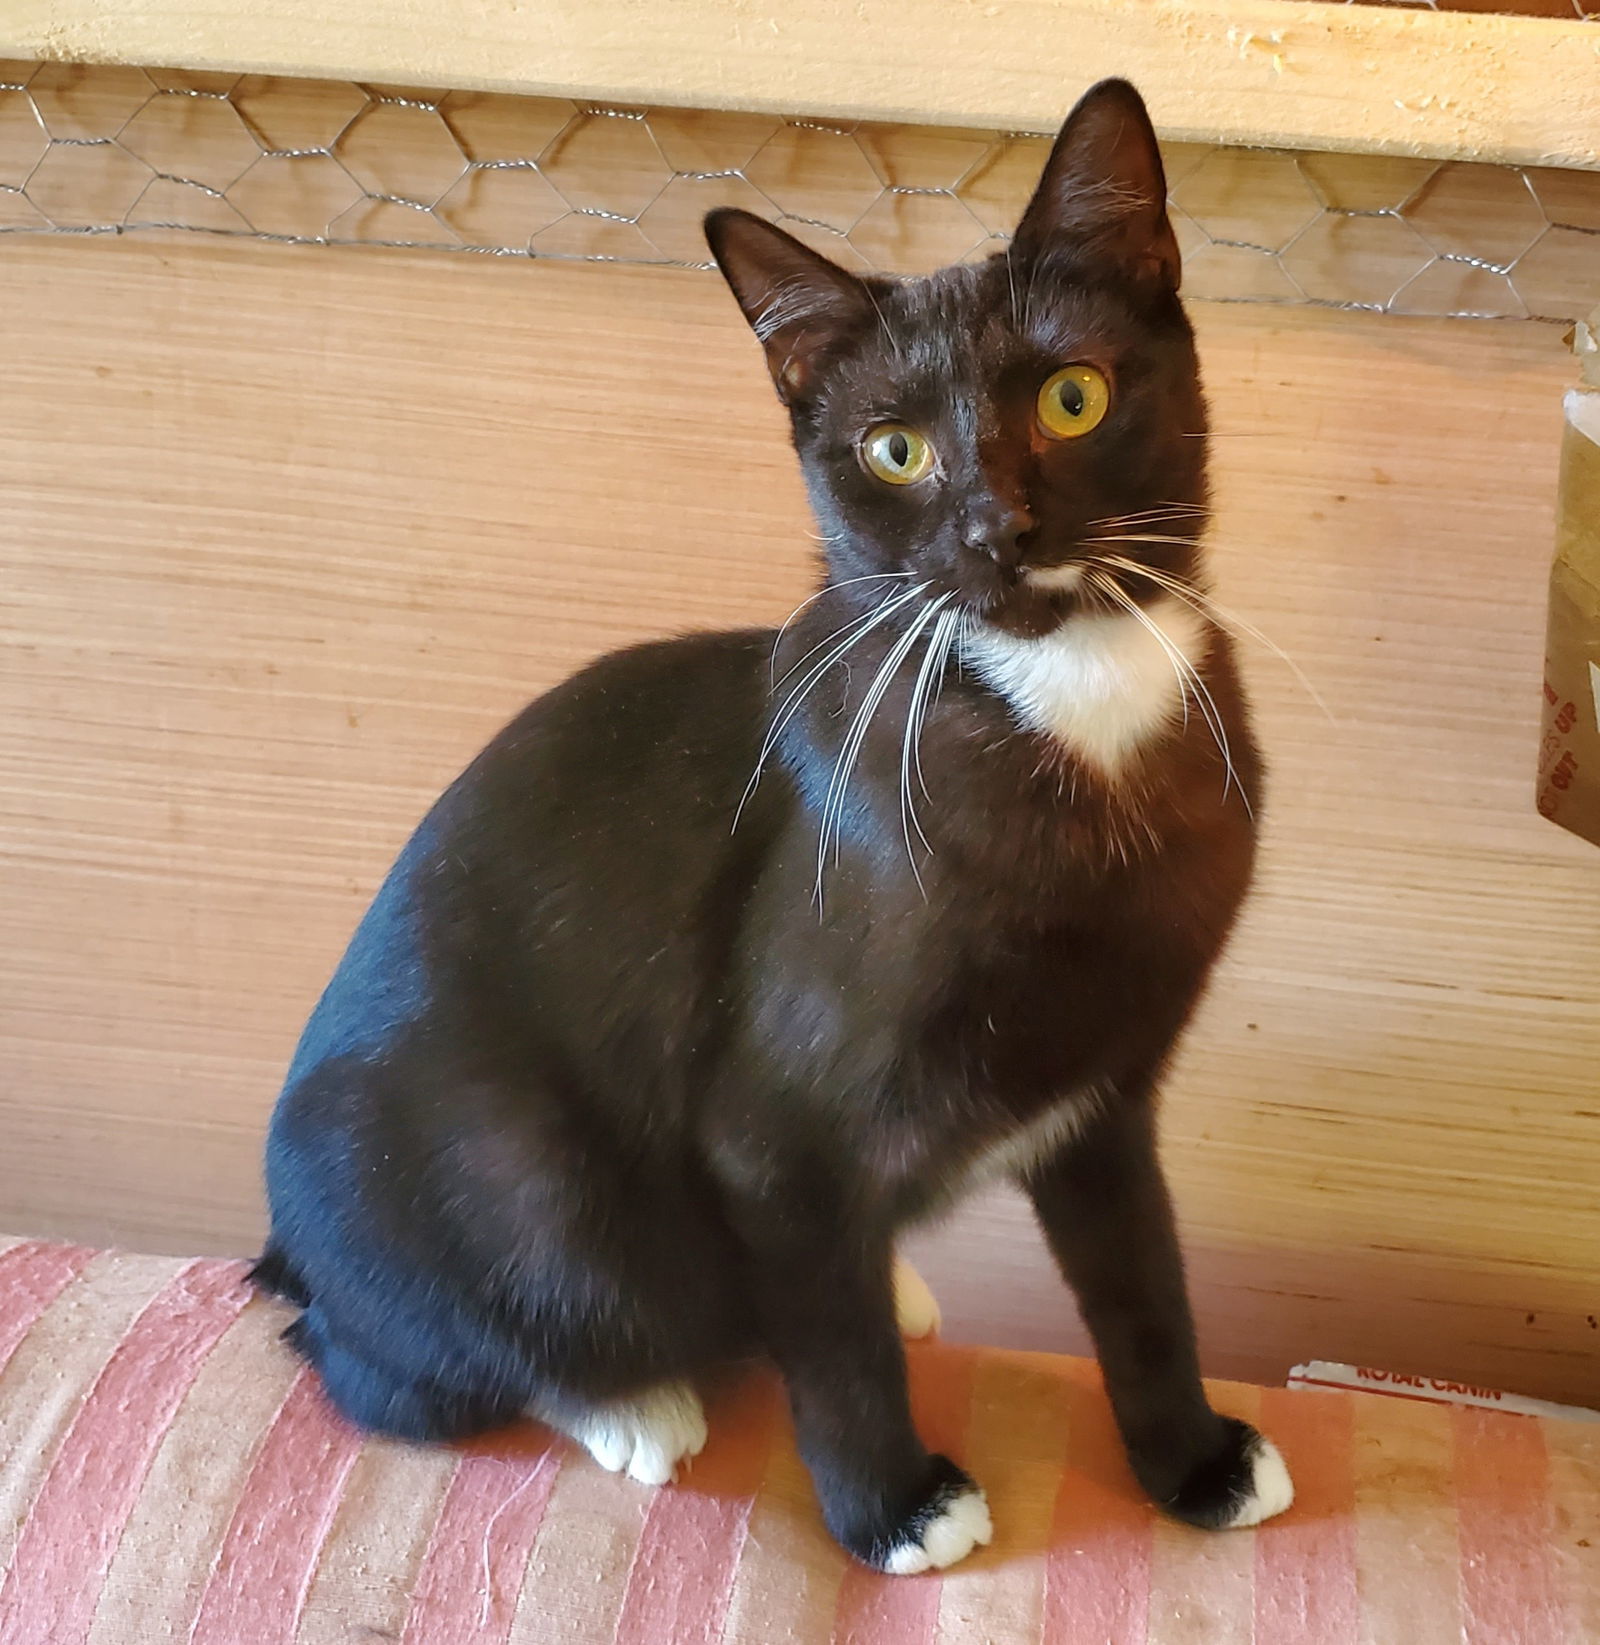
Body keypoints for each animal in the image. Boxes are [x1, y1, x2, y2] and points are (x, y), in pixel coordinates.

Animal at [256, 80, 1289, 1579]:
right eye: (894, 451)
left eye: (1075, 395)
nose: (996, 528)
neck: (1062, 710)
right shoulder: (771, 1139)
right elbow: (832, 1346)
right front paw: (893, 1506)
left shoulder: (1102, 1099)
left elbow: (1143, 1281)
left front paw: (1194, 1460)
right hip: (509, 1171)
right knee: (390, 1360)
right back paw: (636, 1402)